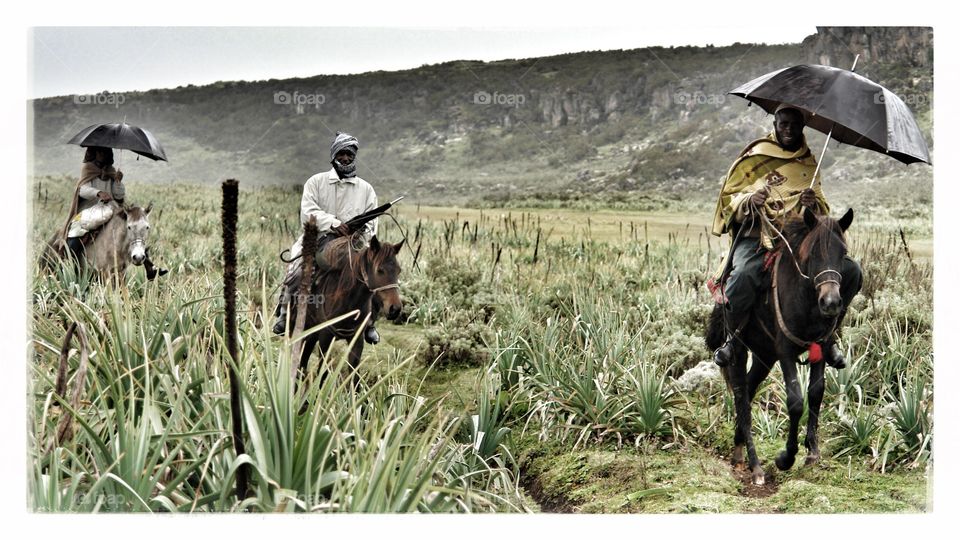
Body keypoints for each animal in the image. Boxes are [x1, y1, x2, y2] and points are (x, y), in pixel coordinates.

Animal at [286, 236, 404, 388]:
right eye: (380, 270)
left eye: (398, 270)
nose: (395, 309)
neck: (346, 301)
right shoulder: (325, 338)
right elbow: (322, 373)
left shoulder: (357, 340)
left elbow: (354, 376)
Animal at [704, 207, 856, 486]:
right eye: (813, 252)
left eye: (843, 252)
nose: (831, 303)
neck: (807, 299)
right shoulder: (785, 351)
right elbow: (795, 402)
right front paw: (786, 457)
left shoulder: (820, 346)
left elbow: (816, 393)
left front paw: (812, 452)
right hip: (739, 351)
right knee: (741, 396)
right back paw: (755, 466)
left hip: (764, 356)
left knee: (750, 390)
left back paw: (738, 449)